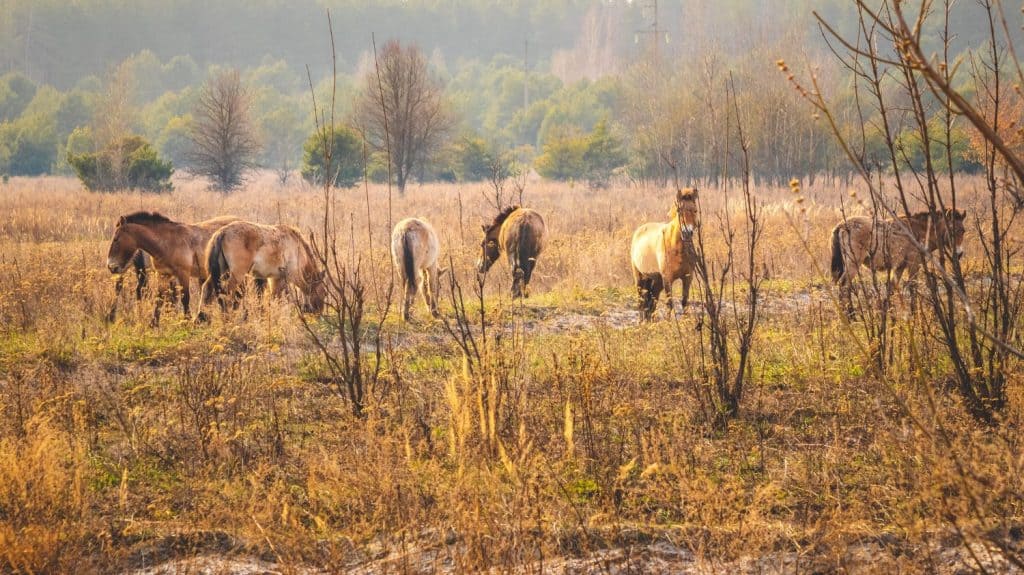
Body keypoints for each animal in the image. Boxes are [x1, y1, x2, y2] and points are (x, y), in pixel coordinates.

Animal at [106, 211, 241, 324]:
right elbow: (159, 299)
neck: (167, 242)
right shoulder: (163, 275)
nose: (111, 266)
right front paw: (153, 324)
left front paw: (186, 320)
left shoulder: (183, 274)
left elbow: (185, 298)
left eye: (116, 239)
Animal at [629, 188, 700, 321]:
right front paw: (669, 322)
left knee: (652, 302)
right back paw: (641, 322)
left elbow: (684, 301)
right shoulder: (668, 278)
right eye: (679, 211)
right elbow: (669, 302)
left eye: (695, 210)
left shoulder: (687, 277)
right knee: (641, 301)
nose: (687, 233)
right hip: (640, 277)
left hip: (657, 281)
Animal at [830, 208, 966, 310]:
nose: (959, 254)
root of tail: (841, 225)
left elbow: (891, 287)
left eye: (963, 231)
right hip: (853, 263)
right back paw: (850, 316)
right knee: (844, 285)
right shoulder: (914, 264)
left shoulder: (900, 267)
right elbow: (912, 287)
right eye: (952, 230)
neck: (920, 230)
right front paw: (913, 313)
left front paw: (888, 311)